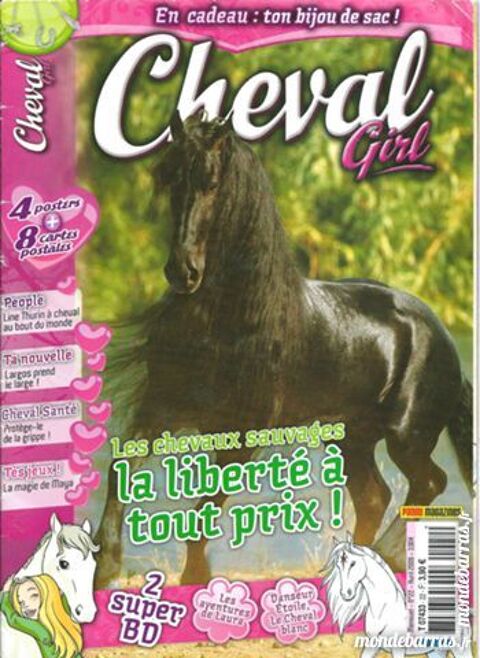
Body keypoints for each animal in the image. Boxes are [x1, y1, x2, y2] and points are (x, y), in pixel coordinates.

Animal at [95, 112, 472, 587]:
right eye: (170, 178)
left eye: (212, 181)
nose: (182, 272)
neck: (222, 322)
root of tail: (440, 335)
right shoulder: (159, 408)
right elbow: (120, 469)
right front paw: (104, 567)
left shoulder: (242, 433)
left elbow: (207, 504)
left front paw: (194, 577)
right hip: (353, 437)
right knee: (374, 495)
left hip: (407, 435)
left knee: (429, 483)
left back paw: (387, 557)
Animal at [324, 535, 472, 658]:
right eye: (338, 565)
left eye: (353, 563)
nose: (346, 593)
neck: (384, 611)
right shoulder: (372, 645)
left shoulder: (398, 649)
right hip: (436, 651)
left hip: (460, 649)